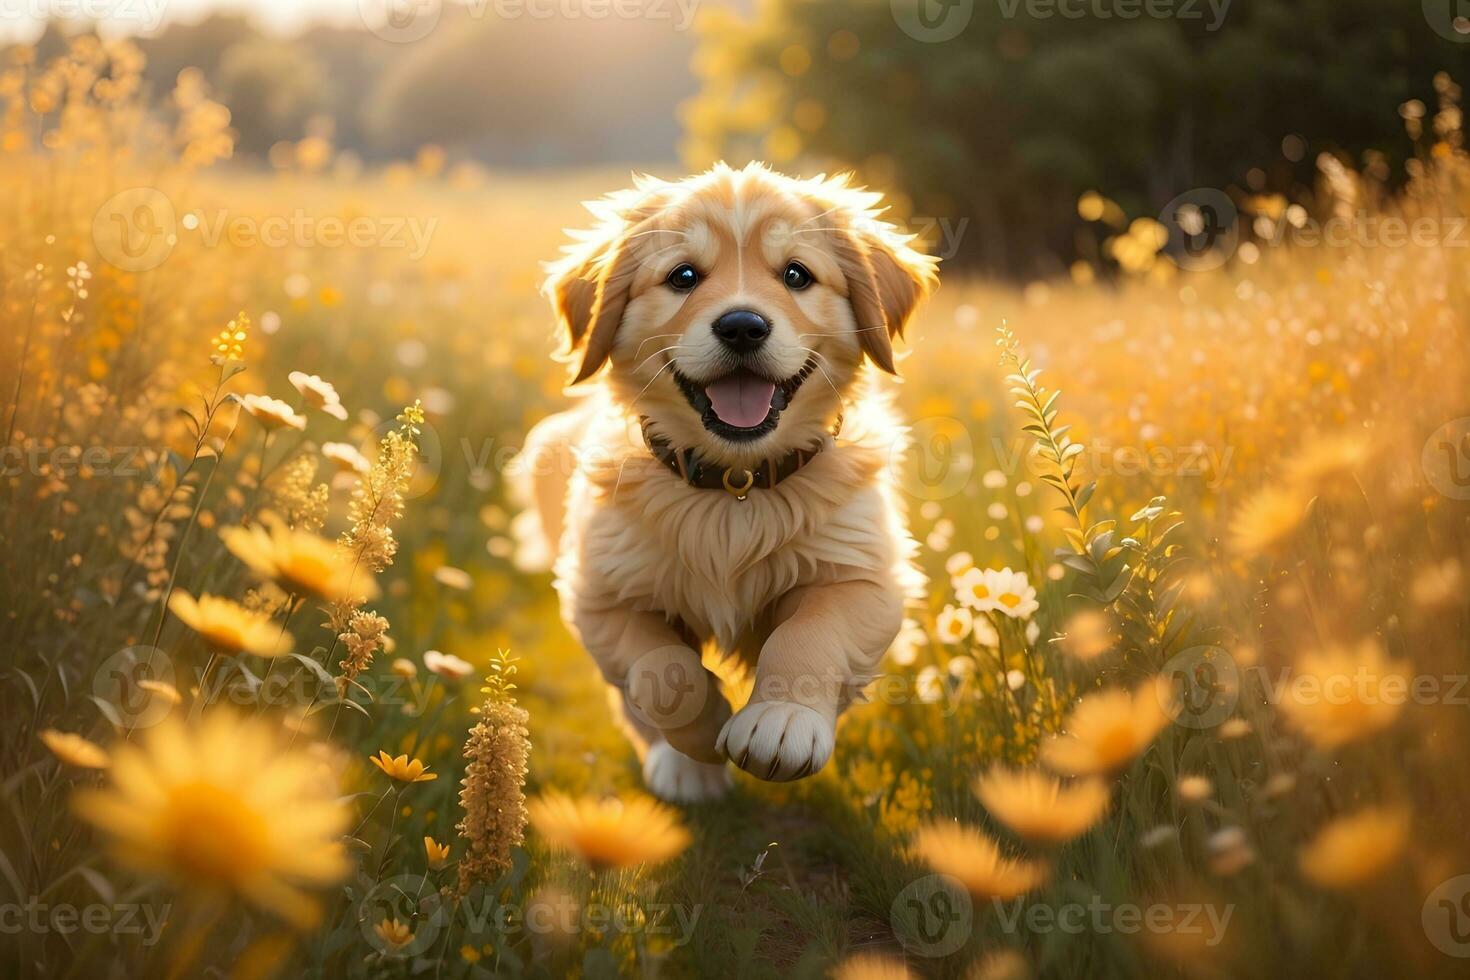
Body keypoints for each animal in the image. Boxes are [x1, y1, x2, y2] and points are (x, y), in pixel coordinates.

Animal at [511, 160, 934, 799]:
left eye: (796, 274)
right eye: (683, 276)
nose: (741, 326)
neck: (736, 486)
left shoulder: (863, 575)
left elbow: (808, 635)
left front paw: (783, 721)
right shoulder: (601, 595)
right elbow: (663, 675)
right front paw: (704, 737)